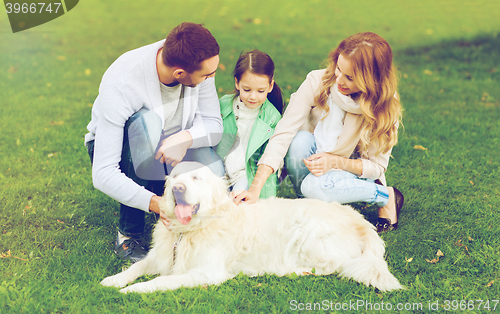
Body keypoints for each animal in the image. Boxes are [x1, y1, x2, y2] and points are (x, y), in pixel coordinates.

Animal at [100, 163, 402, 294]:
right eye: (174, 177)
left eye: (196, 178)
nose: (178, 188)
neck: (189, 231)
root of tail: (362, 223)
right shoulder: (160, 256)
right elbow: (136, 267)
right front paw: (114, 280)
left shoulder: (207, 272)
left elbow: (163, 281)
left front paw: (134, 290)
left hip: (310, 233)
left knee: (334, 265)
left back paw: (294, 271)